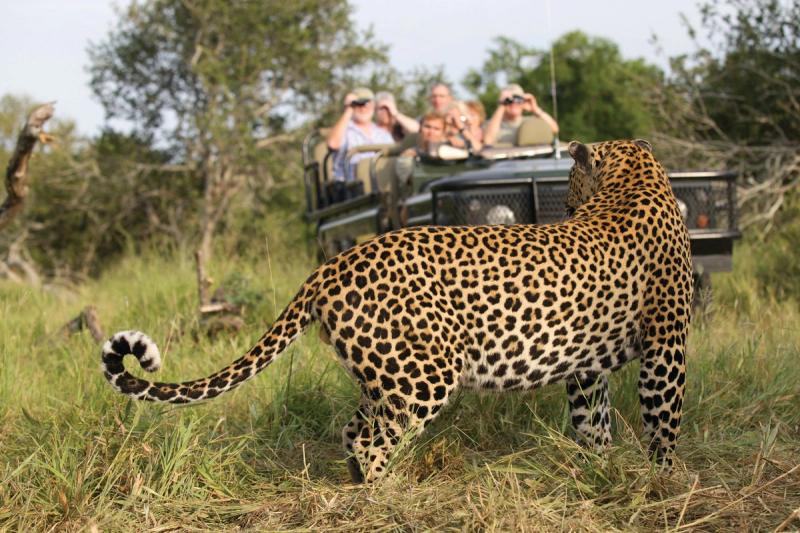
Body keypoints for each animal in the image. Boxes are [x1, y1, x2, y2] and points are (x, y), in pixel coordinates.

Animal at [101, 139, 692, 483]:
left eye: (568, 178)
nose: (564, 205)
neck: (636, 178)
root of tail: (332, 265)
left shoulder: (588, 365)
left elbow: (595, 423)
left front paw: (603, 472)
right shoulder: (667, 345)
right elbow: (664, 419)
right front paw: (668, 481)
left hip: (385, 372)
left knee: (353, 431)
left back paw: (364, 486)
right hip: (425, 374)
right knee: (370, 440)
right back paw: (387, 497)